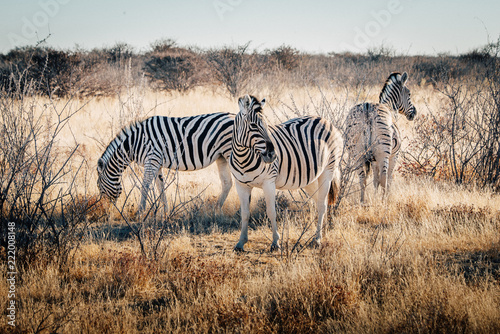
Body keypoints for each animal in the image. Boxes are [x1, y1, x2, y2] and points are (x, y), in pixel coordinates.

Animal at [99, 113, 236, 214]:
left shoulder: (152, 159)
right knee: (227, 183)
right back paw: (216, 209)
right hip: (221, 156)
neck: (134, 143)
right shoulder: (156, 163)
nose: (104, 211)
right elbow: (160, 187)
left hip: (230, 152)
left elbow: (145, 185)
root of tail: (234, 114)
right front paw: (166, 211)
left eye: (100, 188)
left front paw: (140, 211)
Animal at [230, 94, 344, 250]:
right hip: (310, 178)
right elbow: (245, 214)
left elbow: (271, 212)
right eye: (253, 125)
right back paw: (323, 231)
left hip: (328, 171)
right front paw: (241, 242)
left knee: (322, 204)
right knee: (320, 200)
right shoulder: (241, 184)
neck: (243, 157)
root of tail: (326, 121)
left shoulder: (269, 182)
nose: (272, 155)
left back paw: (317, 239)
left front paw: (275, 243)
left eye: (267, 125)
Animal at [346, 71, 416, 204]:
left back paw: (362, 201)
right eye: (409, 94)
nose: (414, 113)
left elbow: (375, 180)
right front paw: (385, 197)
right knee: (384, 178)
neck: (389, 107)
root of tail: (367, 107)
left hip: (356, 153)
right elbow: (388, 179)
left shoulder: (373, 160)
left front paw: (374, 196)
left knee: (362, 179)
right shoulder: (394, 155)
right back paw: (384, 202)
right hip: (383, 153)